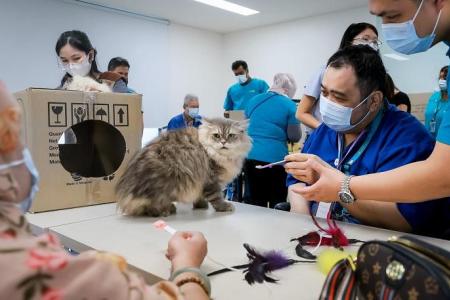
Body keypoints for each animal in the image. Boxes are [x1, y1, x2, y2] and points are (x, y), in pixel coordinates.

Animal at [114, 118, 251, 218]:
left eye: (231, 135)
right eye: (216, 135)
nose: (223, 142)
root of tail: (125, 194)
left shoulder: (201, 184)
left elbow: (200, 197)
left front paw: (201, 206)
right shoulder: (211, 180)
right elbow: (217, 197)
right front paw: (225, 207)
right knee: (152, 208)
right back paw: (166, 210)